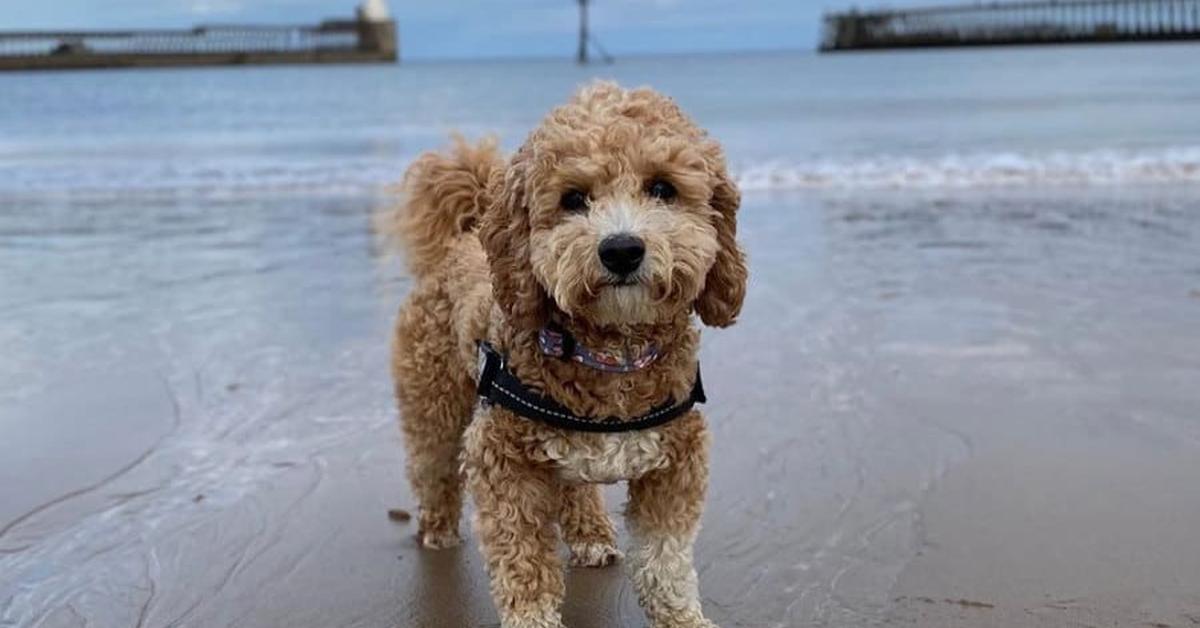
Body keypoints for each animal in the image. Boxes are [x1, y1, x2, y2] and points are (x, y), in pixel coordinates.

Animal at [388, 83, 744, 628]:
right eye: (573, 199)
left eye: (662, 188)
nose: (622, 249)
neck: (612, 353)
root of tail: (461, 238)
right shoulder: (502, 461)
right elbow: (524, 567)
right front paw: (532, 619)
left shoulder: (678, 460)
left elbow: (664, 558)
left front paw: (683, 617)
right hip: (434, 403)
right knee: (432, 465)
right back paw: (437, 529)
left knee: (576, 484)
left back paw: (591, 533)